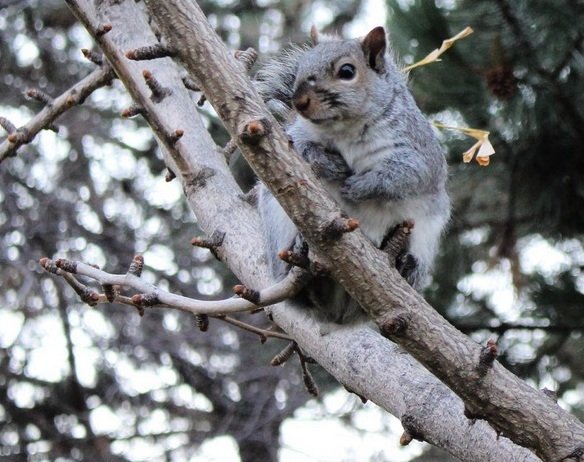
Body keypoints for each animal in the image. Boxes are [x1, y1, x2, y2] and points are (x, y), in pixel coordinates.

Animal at [253, 25, 450, 322]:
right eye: (300, 69)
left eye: (347, 71)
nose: (299, 101)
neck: (345, 128)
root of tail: (338, 312)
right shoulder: (295, 137)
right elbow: (302, 149)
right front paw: (330, 164)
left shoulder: (420, 152)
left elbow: (406, 174)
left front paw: (361, 186)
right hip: (277, 221)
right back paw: (299, 252)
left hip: (426, 230)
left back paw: (405, 264)